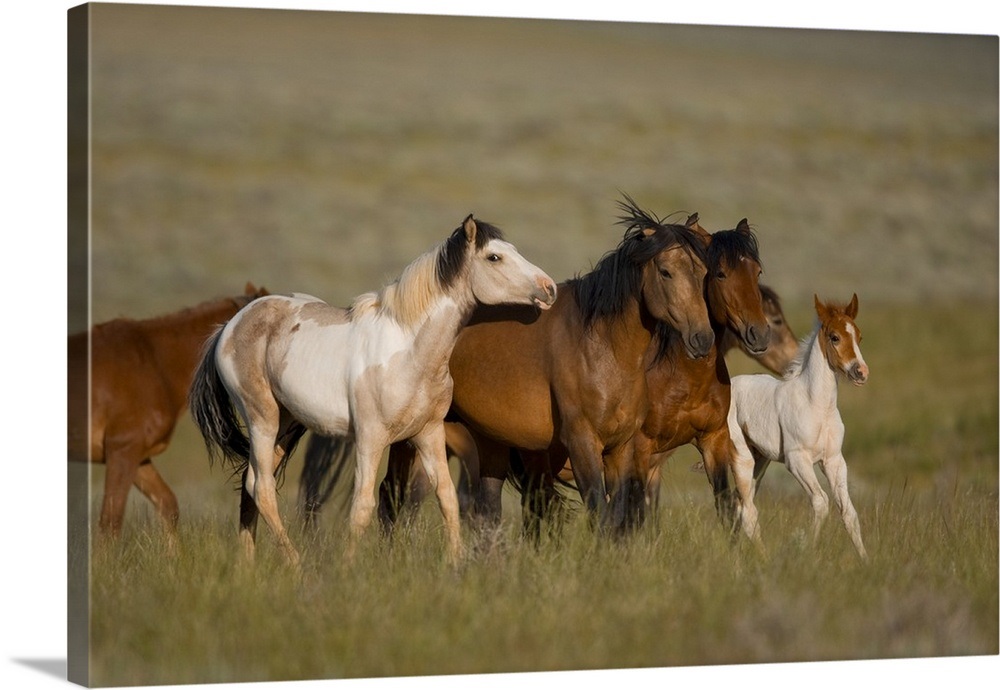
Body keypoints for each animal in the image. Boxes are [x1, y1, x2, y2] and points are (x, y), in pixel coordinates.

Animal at [191, 215, 560, 564]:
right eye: (494, 257)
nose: (549, 288)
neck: (408, 350)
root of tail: (230, 326)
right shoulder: (370, 439)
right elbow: (362, 506)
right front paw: (348, 567)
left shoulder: (429, 433)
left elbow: (447, 498)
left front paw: (456, 564)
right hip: (262, 419)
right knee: (264, 488)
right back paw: (295, 565)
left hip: (285, 424)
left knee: (251, 484)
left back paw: (247, 566)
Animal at [728, 292, 876, 556]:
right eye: (835, 337)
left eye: (859, 336)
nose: (861, 372)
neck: (817, 407)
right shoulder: (797, 460)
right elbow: (820, 502)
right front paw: (807, 554)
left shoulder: (834, 461)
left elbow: (849, 513)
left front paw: (866, 560)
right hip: (741, 458)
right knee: (748, 511)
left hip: (760, 460)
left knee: (740, 504)